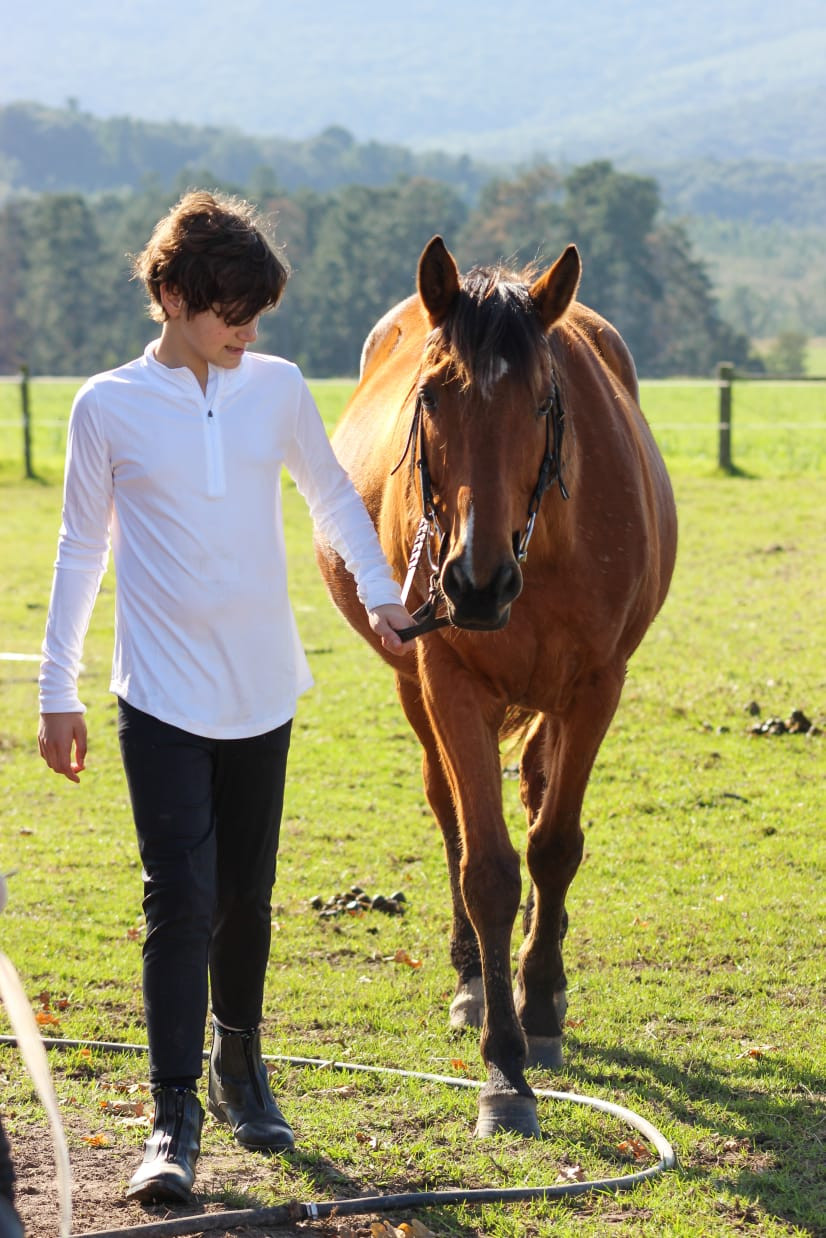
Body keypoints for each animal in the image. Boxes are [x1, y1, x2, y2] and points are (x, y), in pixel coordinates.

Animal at [315, 236, 678, 1138]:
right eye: (432, 394)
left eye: (544, 401)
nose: (476, 585)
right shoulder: (450, 682)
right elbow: (487, 867)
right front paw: (503, 1071)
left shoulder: (597, 686)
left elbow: (553, 846)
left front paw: (541, 1009)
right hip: (417, 691)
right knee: (448, 814)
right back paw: (476, 980)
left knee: (542, 796)